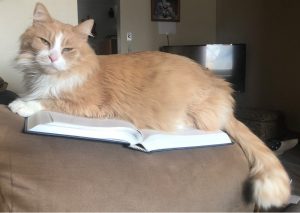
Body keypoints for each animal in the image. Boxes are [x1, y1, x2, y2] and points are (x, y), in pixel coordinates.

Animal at [8, 2, 290, 210]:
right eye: (45, 42)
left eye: (67, 49)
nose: (52, 57)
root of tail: (222, 90)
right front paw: (22, 97)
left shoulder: (90, 104)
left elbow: (49, 99)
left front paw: (21, 105)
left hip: (195, 110)